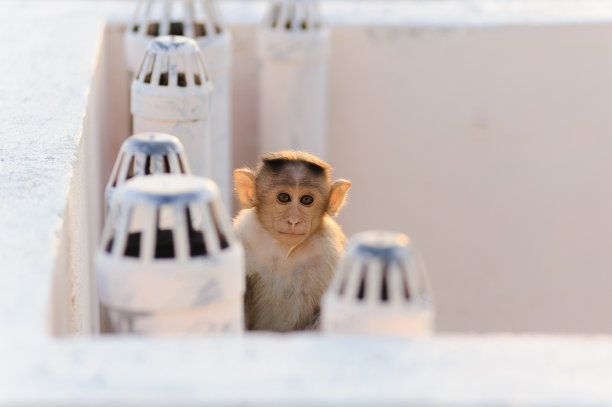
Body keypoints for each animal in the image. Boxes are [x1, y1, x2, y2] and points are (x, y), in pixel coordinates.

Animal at [233, 151, 352, 334]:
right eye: (284, 197)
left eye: (307, 200)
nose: (294, 221)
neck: (284, 250)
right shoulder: (243, 235)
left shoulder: (330, 250)